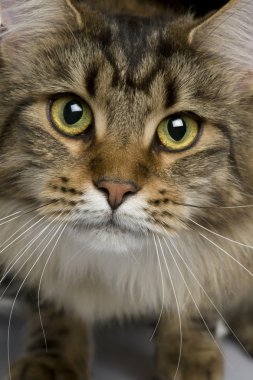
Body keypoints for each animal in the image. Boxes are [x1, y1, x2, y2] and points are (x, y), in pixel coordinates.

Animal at [0, 0, 253, 378]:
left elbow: (192, 298)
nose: (116, 189)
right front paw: (55, 361)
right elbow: (54, 305)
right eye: (71, 114)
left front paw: (189, 356)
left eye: (178, 130)